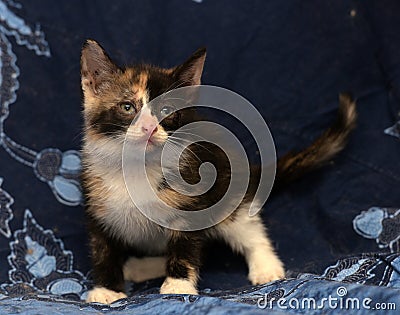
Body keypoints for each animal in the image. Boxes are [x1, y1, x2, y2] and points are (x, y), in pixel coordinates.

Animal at [80, 40, 356, 306]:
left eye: (167, 111)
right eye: (128, 107)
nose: (149, 128)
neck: (139, 166)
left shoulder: (192, 203)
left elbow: (186, 247)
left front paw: (178, 286)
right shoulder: (97, 206)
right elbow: (103, 250)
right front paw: (107, 290)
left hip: (228, 192)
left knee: (247, 228)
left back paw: (266, 266)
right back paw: (141, 267)